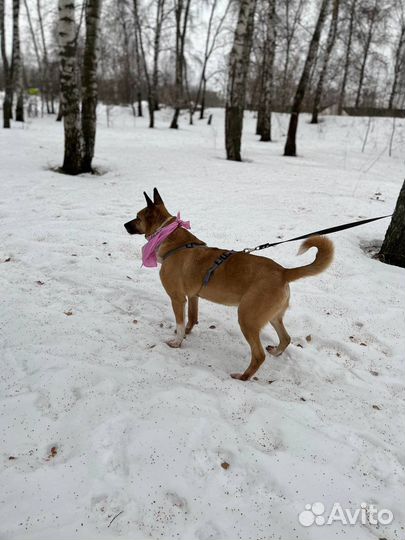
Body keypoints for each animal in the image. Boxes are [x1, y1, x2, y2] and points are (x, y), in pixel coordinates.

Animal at [124, 189, 332, 380]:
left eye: (137, 217)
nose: (124, 225)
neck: (172, 239)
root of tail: (283, 272)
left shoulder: (178, 298)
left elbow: (181, 322)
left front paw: (177, 342)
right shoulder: (193, 297)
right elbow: (192, 318)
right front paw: (187, 334)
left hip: (247, 319)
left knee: (259, 355)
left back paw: (243, 377)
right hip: (273, 316)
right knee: (285, 338)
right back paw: (275, 352)